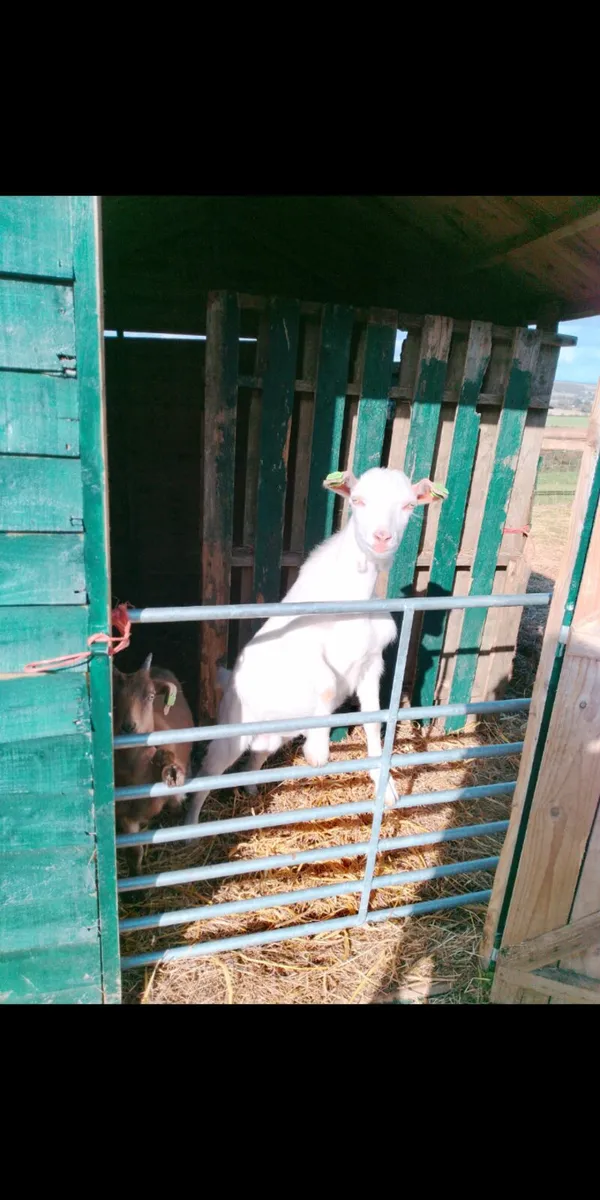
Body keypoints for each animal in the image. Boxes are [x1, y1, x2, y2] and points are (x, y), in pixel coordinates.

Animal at [185, 466, 442, 826]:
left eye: (408, 506)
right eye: (358, 500)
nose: (381, 537)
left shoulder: (370, 664)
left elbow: (373, 720)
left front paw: (385, 786)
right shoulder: (300, 648)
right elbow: (326, 684)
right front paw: (318, 751)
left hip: (273, 737)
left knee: (253, 761)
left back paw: (251, 791)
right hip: (231, 733)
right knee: (206, 777)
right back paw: (189, 824)